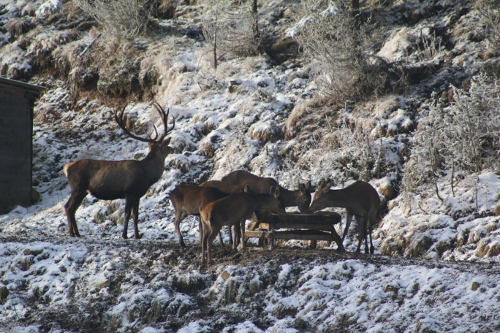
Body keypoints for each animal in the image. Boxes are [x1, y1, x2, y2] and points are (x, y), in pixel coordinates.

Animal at [63, 101, 175, 239]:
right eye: (164, 146)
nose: (172, 148)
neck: (147, 175)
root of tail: (66, 167)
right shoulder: (130, 191)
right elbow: (127, 214)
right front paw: (125, 235)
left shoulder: (137, 195)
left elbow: (135, 215)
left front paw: (137, 235)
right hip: (77, 186)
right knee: (68, 207)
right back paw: (71, 233)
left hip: (83, 190)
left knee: (73, 209)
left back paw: (77, 233)